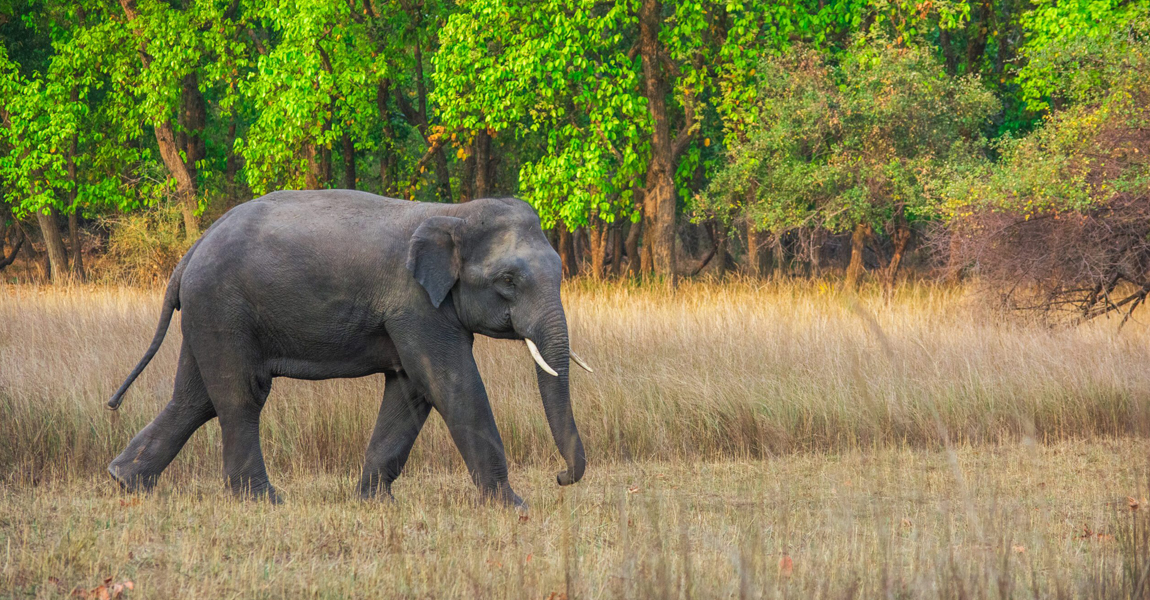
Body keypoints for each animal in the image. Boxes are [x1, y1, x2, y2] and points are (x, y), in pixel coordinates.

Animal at [103, 189, 588, 505]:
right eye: (508, 280)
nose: (560, 477)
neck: (452, 214)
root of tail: (192, 248)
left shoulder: (413, 313)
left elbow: (411, 390)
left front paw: (373, 502)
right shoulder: (415, 304)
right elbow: (452, 384)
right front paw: (513, 505)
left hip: (208, 313)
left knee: (194, 399)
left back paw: (125, 482)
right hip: (223, 308)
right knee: (241, 396)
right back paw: (262, 500)